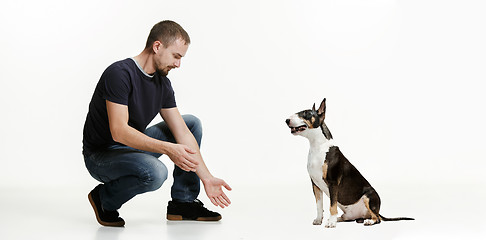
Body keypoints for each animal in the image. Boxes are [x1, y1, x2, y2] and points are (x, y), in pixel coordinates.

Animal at [284, 98, 414, 228]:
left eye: (306, 113)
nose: (287, 120)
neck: (318, 147)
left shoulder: (333, 183)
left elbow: (332, 205)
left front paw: (331, 223)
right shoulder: (315, 184)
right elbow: (319, 205)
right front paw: (319, 220)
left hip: (369, 196)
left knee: (377, 219)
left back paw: (367, 221)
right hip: (351, 213)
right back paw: (339, 219)